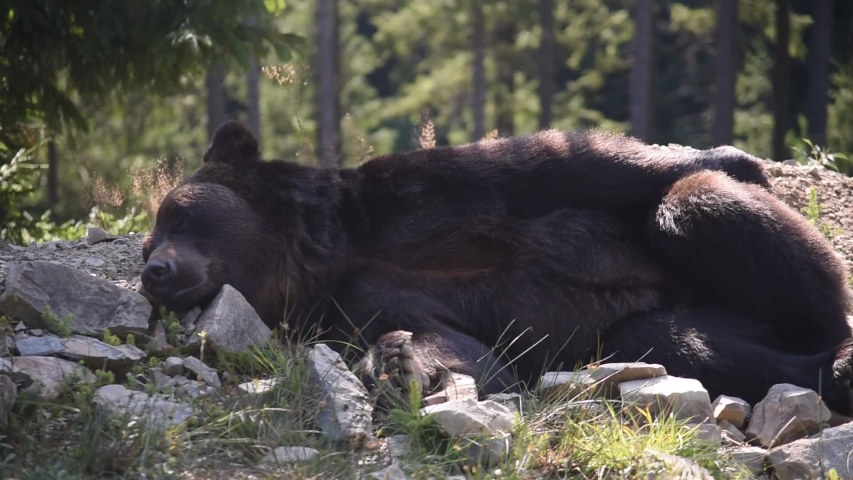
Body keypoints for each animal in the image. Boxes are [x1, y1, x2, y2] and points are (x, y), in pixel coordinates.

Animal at [140, 120, 853, 415]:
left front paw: (738, 157)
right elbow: (464, 353)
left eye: (177, 215)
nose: (153, 272)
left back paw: (837, 349)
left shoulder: (430, 197)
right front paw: (399, 364)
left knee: (698, 207)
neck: (321, 256)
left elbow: (589, 165)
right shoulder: (349, 310)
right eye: (150, 242)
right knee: (671, 341)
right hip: (656, 324)